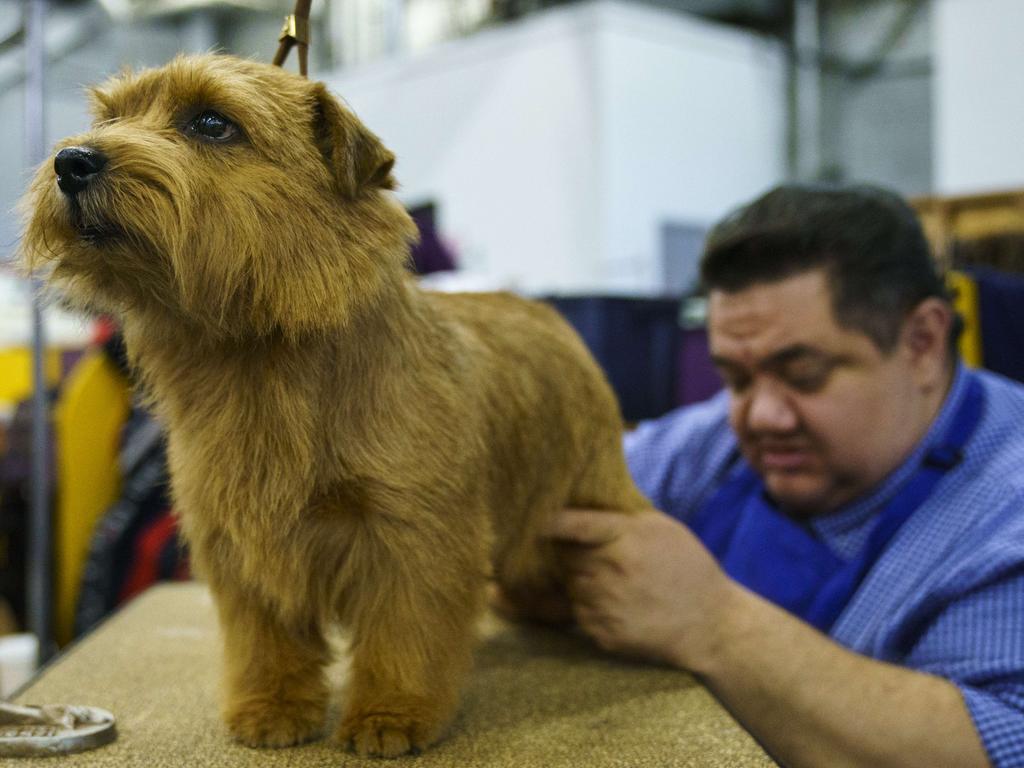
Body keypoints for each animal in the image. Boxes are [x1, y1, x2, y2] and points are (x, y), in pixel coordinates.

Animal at [24, 52, 651, 757]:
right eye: (111, 117)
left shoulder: (413, 535)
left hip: (590, 497)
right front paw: (271, 707)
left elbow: (403, 636)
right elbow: (265, 640)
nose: (72, 160)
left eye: (211, 123)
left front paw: (390, 715)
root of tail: (548, 315)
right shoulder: (242, 539)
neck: (255, 354)